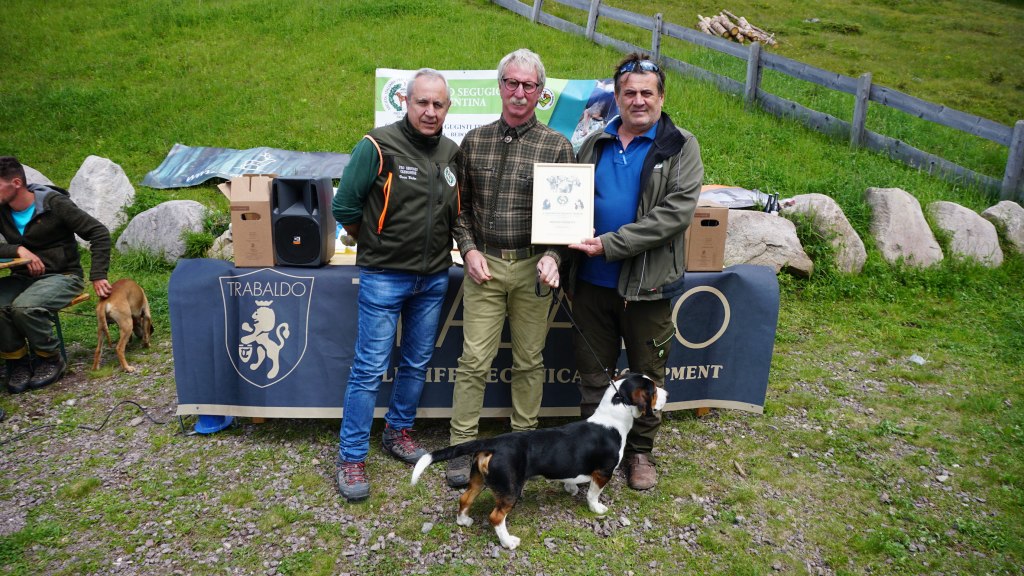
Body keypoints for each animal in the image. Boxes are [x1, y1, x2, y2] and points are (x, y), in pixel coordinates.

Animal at [411, 373, 666, 549]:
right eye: (653, 389)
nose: (668, 394)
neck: (613, 417)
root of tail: (492, 442)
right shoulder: (603, 471)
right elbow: (593, 494)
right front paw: (597, 508)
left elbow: (571, 479)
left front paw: (570, 488)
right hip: (510, 489)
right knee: (496, 517)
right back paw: (508, 542)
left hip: (478, 480)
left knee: (465, 498)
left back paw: (464, 521)